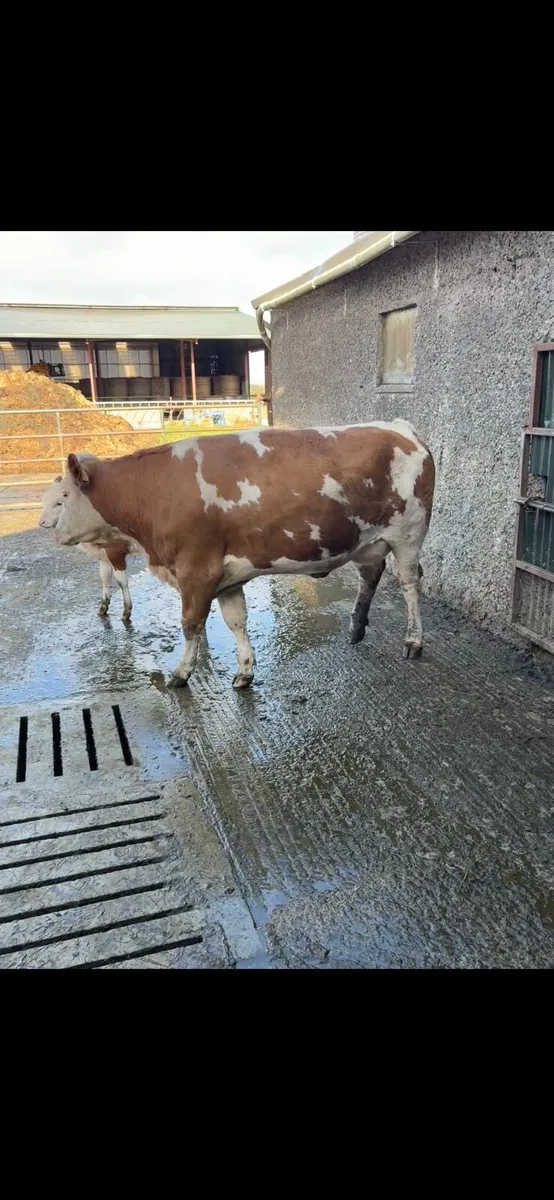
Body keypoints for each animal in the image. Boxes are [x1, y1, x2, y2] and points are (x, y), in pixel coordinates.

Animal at [39, 474, 137, 621]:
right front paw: (103, 607)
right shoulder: (103, 555)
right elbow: (104, 578)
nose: (41, 522)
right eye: (44, 501)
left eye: (59, 503)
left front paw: (126, 611)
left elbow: (122, 582)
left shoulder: (116, 550)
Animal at [53, 420, 435, 689]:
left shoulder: (197, 569)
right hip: (365, 540)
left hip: (408, 535)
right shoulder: (226, 575)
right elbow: (236, 620)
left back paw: (413, 640)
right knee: (370, 575)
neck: (154, 492)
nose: (52, 530)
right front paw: (245, 671)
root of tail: (401, 428)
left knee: (410, 584)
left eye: (65, 496)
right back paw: (356, 628)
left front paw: (181, 673)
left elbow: (190, 624)